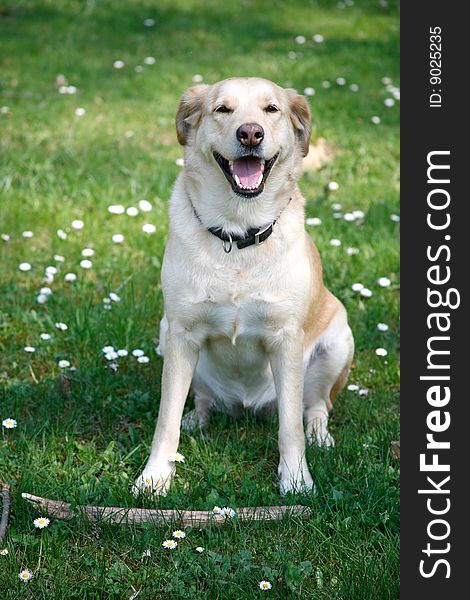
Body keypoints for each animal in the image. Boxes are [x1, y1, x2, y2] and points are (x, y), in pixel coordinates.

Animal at [132, 76, 352, 496]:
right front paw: (155, 476)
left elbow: (290, 427)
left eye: (271, 109)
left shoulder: (286, 340)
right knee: (200, 400)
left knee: (315, 407)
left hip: (338, 340)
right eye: (222, 109)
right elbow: (165, 420)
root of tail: (246, 406)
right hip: (167, 334)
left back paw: (320, 436)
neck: (238, 230)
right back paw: (196, 420)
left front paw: (295, 479)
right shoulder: (182, 335)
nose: (250, 133)